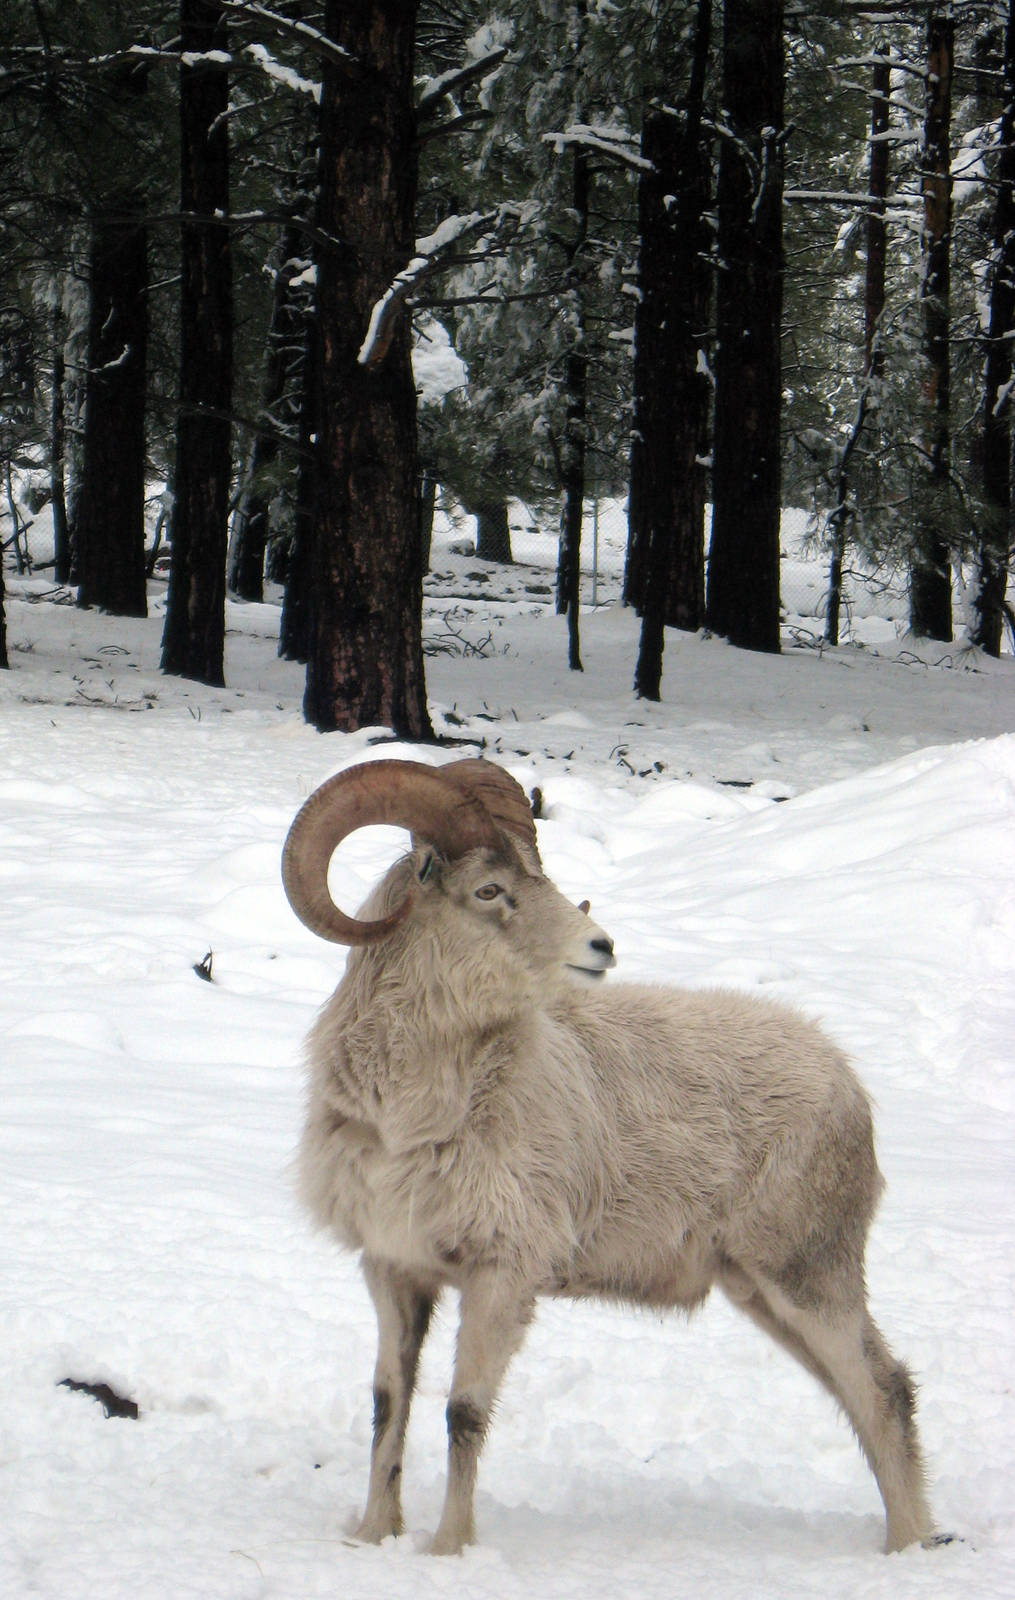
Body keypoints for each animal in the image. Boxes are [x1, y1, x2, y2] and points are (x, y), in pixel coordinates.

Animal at [282, 756, 936, 1557]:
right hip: (762, 1290)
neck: (414, 1119)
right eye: (490, 890)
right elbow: (389, 1403)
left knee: (882, 1389)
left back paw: (909, 1549)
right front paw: (375, 1536)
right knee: (866, 1395)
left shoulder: (501, 1278)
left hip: (807, 1277)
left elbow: (464, 1413)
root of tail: (846, 1080)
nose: (600, 948)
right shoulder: (394, 1270)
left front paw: (448, 1549)